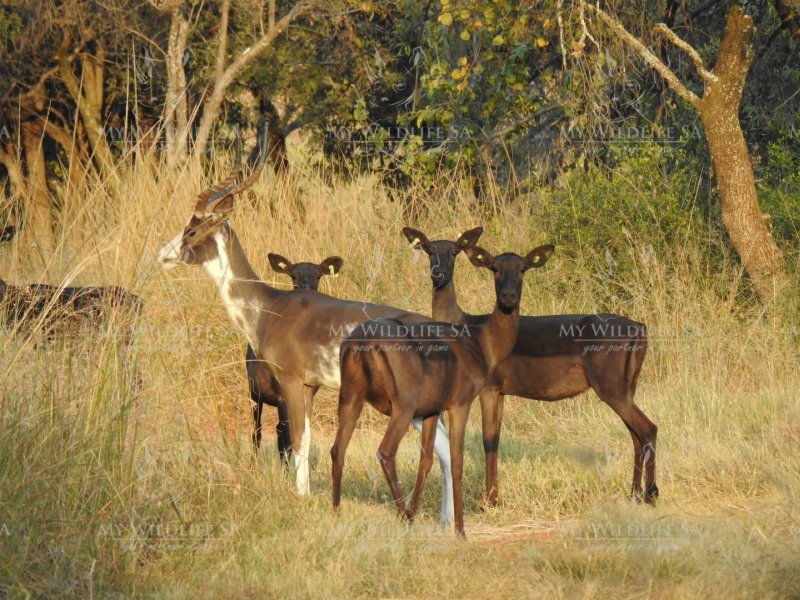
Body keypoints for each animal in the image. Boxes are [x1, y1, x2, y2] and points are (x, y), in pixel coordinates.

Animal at [332, 243, 554, 535]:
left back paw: (338, 511)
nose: (508, 297)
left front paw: (420, 512)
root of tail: (364, 342)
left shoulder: (431, 410)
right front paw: (460, 529)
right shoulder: (460, 403)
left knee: (338, 449)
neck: (481, 343)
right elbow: (456, 462)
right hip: (402, 408)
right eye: (494, 268)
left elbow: (426, 461)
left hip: (350, 397)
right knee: (385, 451)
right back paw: (403, 515)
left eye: (523, 268)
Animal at [402, 226, 658, 505]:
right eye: (429, 250)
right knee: (636, 434)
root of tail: (640, 329)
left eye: (453, 251)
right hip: (626, 389)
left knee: (648, 429)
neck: (468, 325)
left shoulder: (489, 389)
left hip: (612, 389)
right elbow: (494, 439)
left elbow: (488, 440)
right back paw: (634, 493)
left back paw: (651, 494)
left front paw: (490, 500)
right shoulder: (501, 391)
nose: (438, 274)